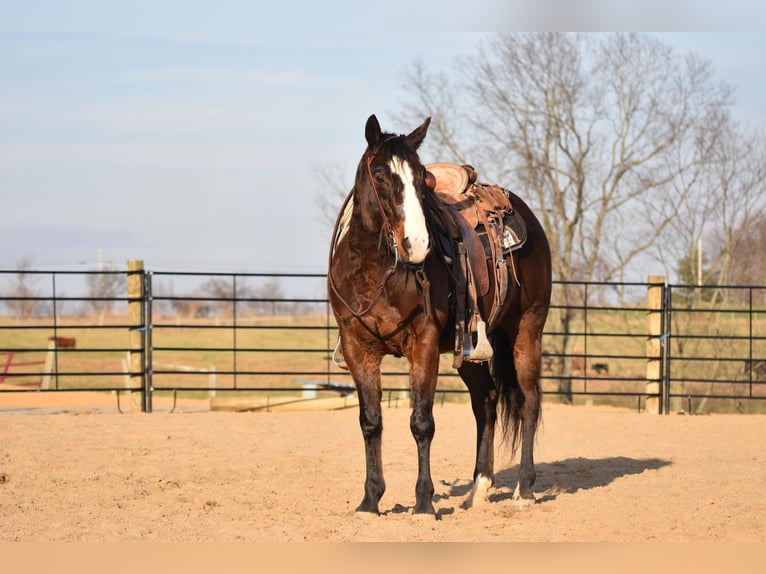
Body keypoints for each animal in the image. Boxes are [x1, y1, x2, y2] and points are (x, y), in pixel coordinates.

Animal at [330, 115, 552, 516]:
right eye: (380, 175)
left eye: (422, 178)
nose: (417, 245)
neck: (374, 272)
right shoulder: (358, 349)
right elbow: (370, 421)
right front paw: (370, 500)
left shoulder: (425, 344)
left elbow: (422, 422)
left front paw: (423, 502)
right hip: (472, 348)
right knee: (486, 402)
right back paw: (478, 489)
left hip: (527, 328)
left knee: (528, 401)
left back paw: (524, 490)